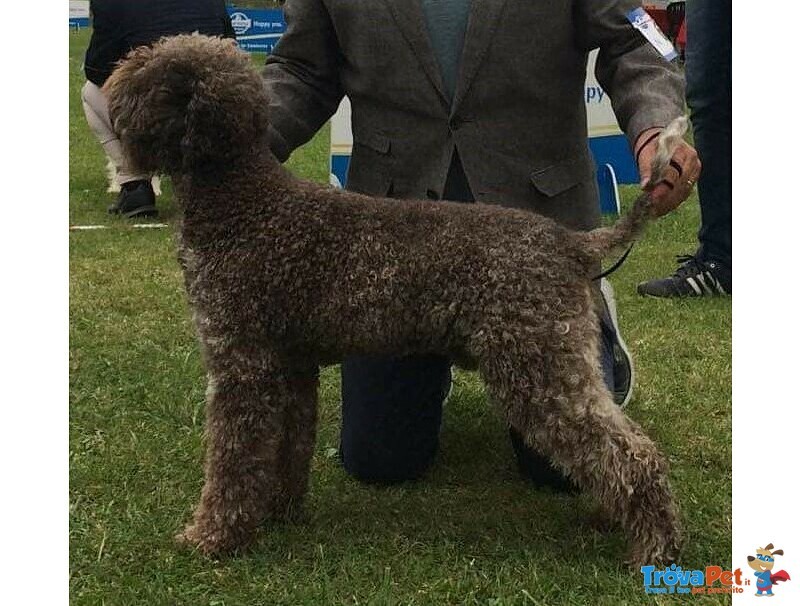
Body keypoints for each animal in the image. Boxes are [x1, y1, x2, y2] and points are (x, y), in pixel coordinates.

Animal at [103, 34, 684, 568]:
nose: (111, 85)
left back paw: (654, 548)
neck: (243, 200)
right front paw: (278, 513)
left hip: (538, 369)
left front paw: (212, 535)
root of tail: (570, 241)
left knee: (632, 455)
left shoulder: (241, 366)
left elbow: (231, 459)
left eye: (153, 73)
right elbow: (286, 449)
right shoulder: (288, 366)